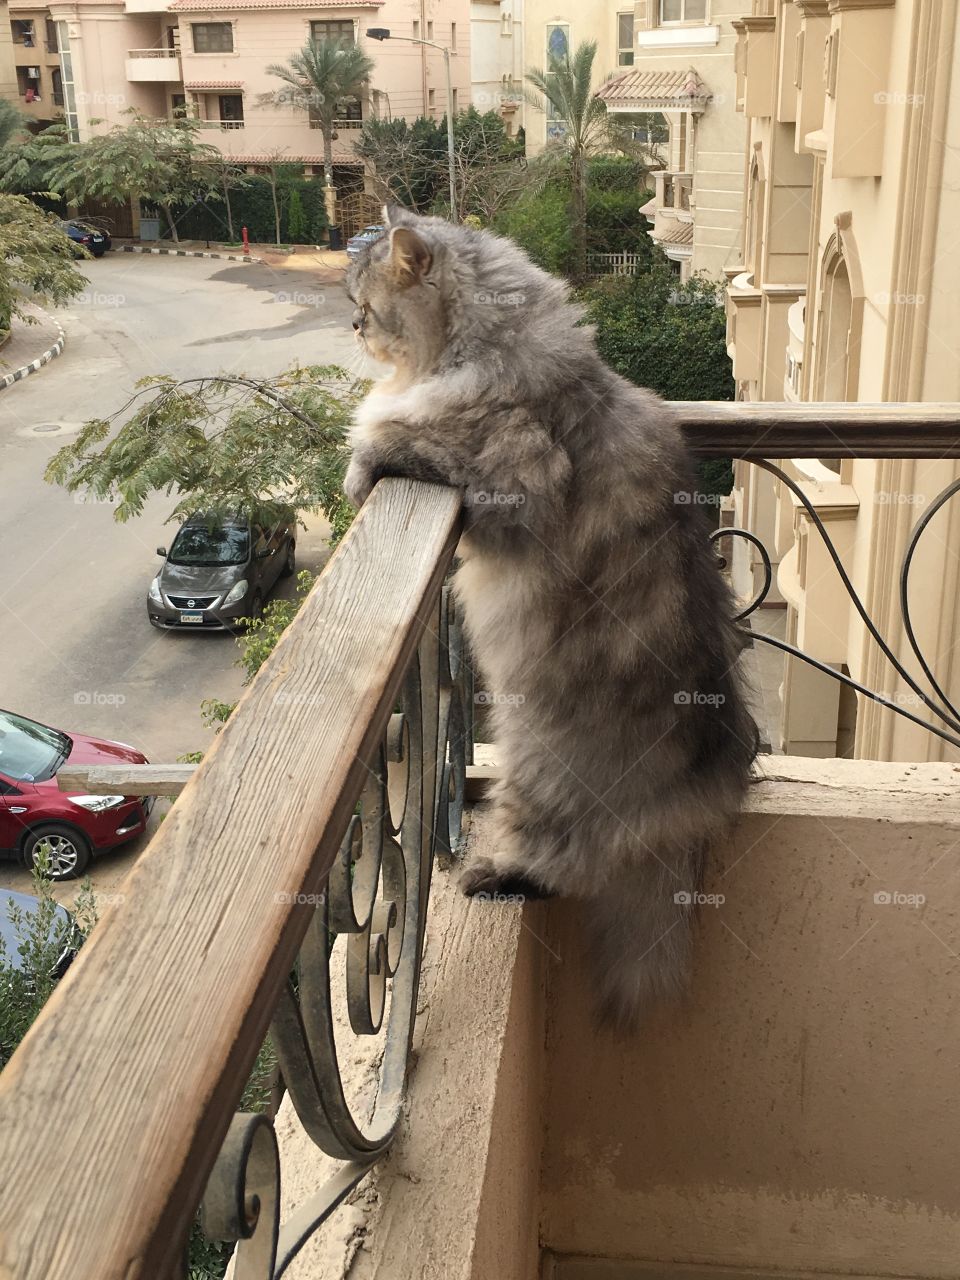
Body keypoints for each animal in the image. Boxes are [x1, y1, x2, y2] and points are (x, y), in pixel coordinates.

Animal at [345, 209, 757, 1029]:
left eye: (367, 307)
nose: (352, 326)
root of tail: (697, 796)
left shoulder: (512, 480)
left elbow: (398, 437)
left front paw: (362, 456)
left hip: (538, 771)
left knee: (562, 860)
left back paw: (496, 876)